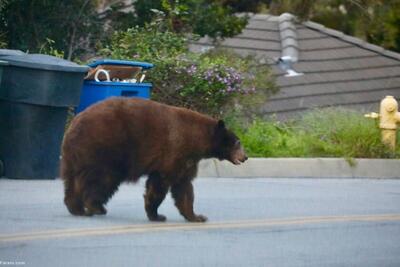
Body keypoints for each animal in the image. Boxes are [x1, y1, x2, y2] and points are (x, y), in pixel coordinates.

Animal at [60, 97, 245, 223]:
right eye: (238, 142)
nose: (244, 157)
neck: (197, 138)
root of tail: (74, 124)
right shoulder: (175, 152)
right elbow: (161, 183)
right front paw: (157, 214)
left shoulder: (187, 160)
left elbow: (184, 187)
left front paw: (196, 216)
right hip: (104, 149)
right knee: (101, 180)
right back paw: (94, 206)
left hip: (74, 156)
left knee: (72, 181)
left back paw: (75, 207)